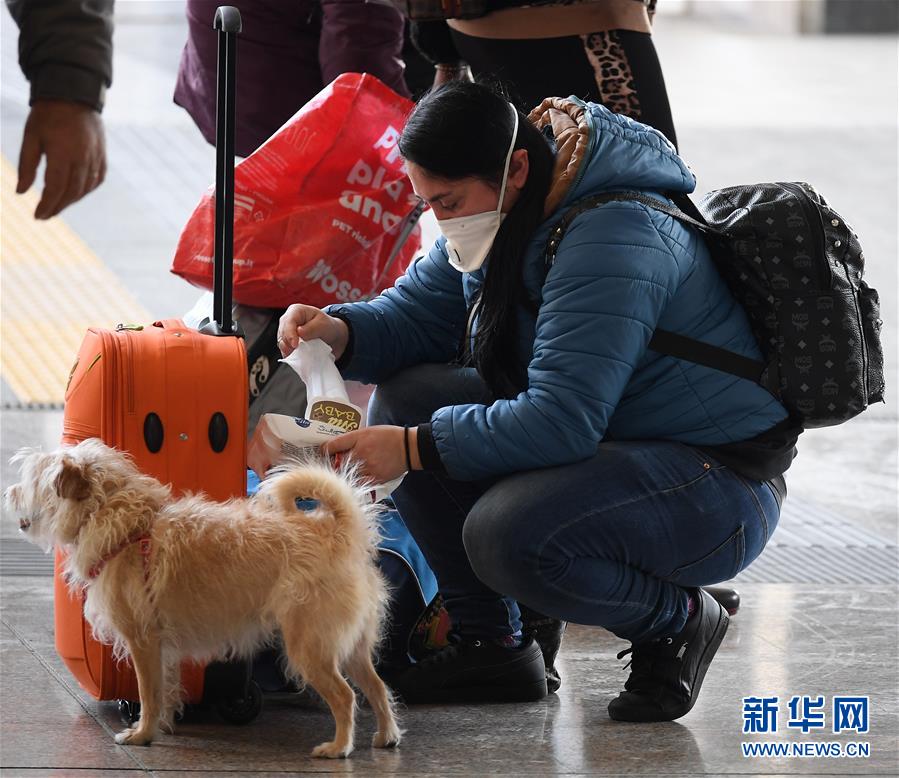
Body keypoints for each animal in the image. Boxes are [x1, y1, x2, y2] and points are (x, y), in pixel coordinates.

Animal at [4, 440, 400, 756]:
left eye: (33, 480)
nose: (8, 493)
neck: (127, 525)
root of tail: (338, 533)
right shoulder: (162, 648)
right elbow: (164, 689)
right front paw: (161, 726)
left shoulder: (143, 641)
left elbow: (148, 693)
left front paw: (142, 734)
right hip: (353, 648)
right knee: (377, 687)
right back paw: (387, 736)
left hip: (310, 646)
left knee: (346, 697)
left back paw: (339, 747)